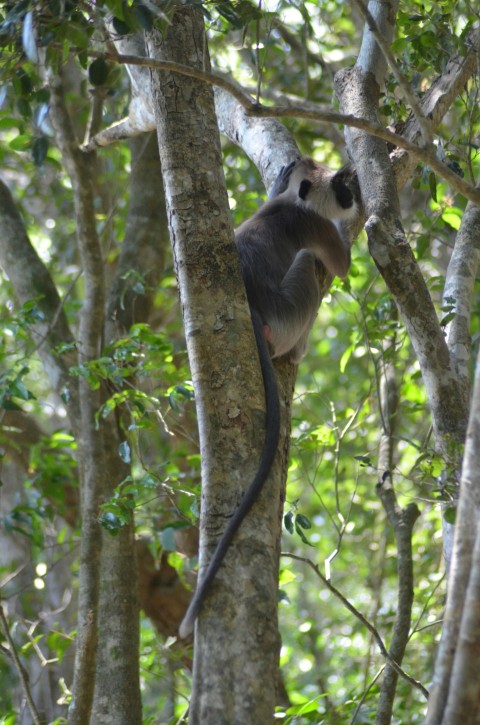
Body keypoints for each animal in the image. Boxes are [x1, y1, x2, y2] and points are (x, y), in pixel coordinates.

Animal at [179, 156, 356, 636]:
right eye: (341, 187)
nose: (353, 192)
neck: (288, 204)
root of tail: (255, 310)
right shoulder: (315, 226)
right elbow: (342, 263)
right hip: (290, 312)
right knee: (308, 265)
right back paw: (296, 350)